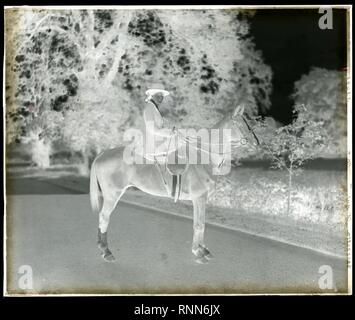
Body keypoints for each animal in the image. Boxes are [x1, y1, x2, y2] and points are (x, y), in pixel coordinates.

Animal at [90, 105, 260, 262]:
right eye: (239, 123)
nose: (256, 142)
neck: (204, 157)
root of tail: (103, 154)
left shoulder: (201, 199)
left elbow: (201, 223)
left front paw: (202, 249)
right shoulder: (199, 198)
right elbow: (199, 225)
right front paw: (198, 252)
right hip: (112, 195)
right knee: (104, 217)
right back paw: (106, 251)